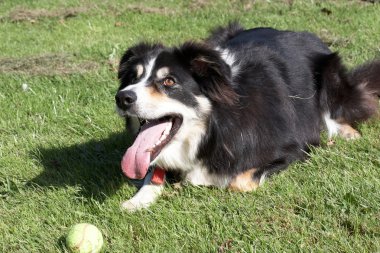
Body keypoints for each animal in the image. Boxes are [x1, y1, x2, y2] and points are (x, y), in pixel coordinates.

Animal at [115, 22, 380, 211]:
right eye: (133, 78)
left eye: (169, 81)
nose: (122, 97)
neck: (215, 126)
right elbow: (152, 172)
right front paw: (137, 200)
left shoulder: (294, 148)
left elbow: (237, 182)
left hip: (330, 75)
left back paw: (348, 131)